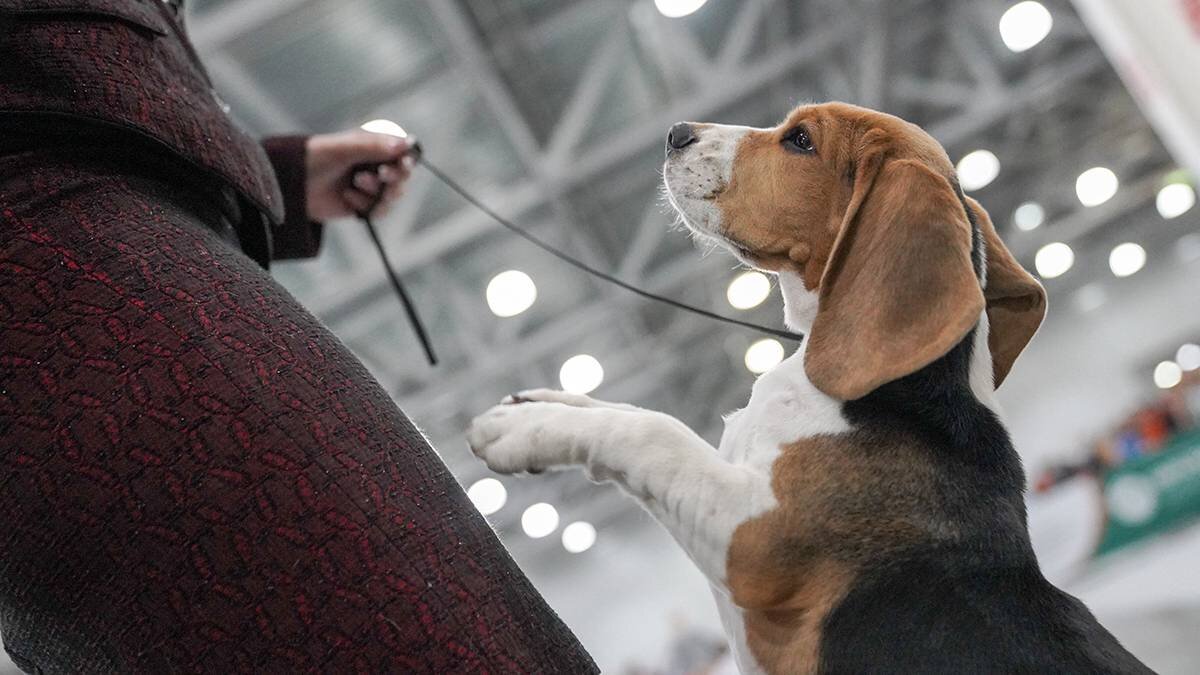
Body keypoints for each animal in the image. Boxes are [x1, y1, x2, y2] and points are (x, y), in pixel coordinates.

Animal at [465, 102, 1152, 667]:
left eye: (800, 140)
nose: (676, 133)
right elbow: (628, 407)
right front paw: (543, 403)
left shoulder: (750, 539)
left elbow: (654, 431)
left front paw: (525, 429)